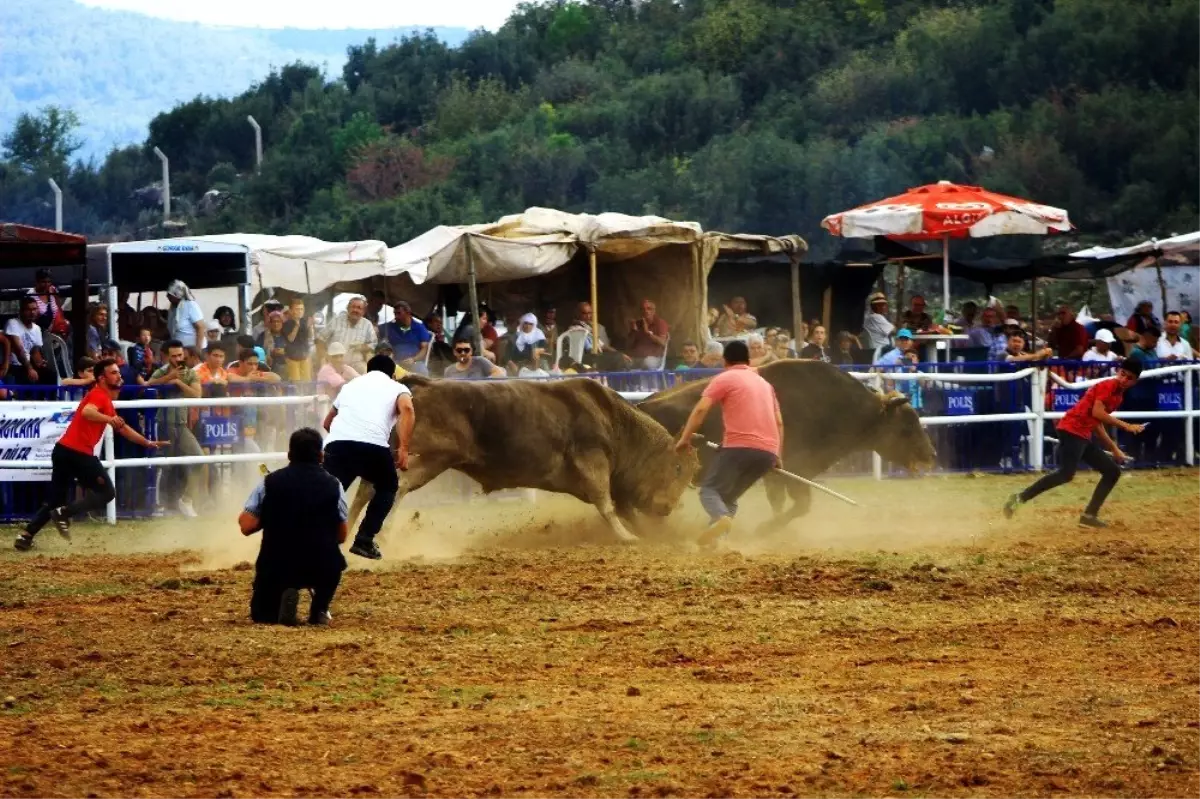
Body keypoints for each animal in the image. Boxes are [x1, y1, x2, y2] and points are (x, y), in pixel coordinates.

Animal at [348, 374, 700, 542]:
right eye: (677, 467)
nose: (666, 508)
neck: (615, 420)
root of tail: (422, 385)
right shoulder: (592, 461)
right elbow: (607, 504)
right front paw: (628, 536)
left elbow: (621, 507)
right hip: (430, 456)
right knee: (397, 485)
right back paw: (384, 533)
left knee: (369, 485)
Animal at [638, 359, 936, 527]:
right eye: (907, 426)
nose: (931, 454)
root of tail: (643, 405)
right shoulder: (793, 472)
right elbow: (800, 505)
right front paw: (767, 529)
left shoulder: (780, 475)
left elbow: (781, 502)